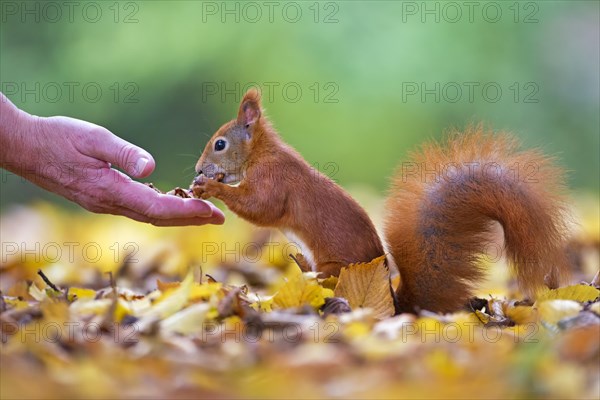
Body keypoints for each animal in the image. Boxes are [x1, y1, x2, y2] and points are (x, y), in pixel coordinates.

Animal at [195, 89, 568, 314]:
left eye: (219, 144)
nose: (199, 169)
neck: (261, 154)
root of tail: (393, 305)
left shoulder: (274, 180)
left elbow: (263, 208)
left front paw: (210, 188)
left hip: (335, 272)